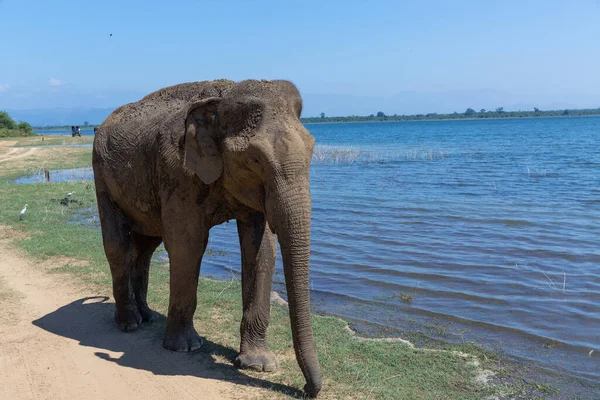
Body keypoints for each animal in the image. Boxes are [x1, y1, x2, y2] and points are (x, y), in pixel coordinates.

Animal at [91, 79, 322, 396]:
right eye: (255, 159)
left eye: (312, 151)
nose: (307, 389)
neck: (222, 99)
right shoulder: (177, 170)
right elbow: (188, 244)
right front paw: (185, 348)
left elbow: (261, 250)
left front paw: (258, 364)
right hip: (101, 174)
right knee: (118, 245)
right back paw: (130, 324)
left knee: (146, 246)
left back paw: (148, 316)